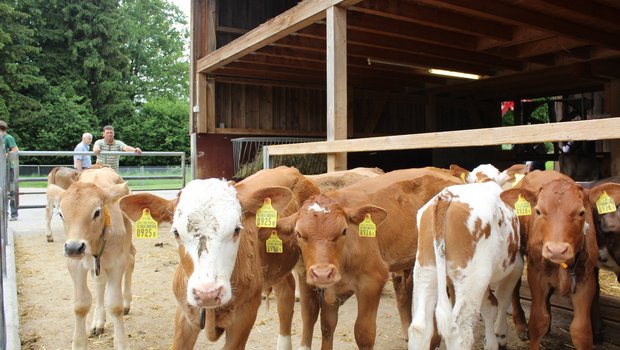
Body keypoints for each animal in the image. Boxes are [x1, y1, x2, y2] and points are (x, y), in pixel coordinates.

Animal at [50, 168, 134, 348]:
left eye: (96, 212)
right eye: (61, 214)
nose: (74, 248)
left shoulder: (116, 263)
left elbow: (115, 305)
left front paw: (122, 343)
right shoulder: (75, 265)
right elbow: (80, 305)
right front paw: (79, 343)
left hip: (127, 238)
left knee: (130, 260)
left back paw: (126, 302)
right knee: (100, 282)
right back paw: (98, 322)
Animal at [412, 180, 524, 350]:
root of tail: (446, 197)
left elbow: (489, 306)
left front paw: (491, 342)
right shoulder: (516, 265)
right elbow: (503, 299)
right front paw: (500, 336)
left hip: (425, 270)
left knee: (420, 326)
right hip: (472, 279)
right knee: (460, 331)